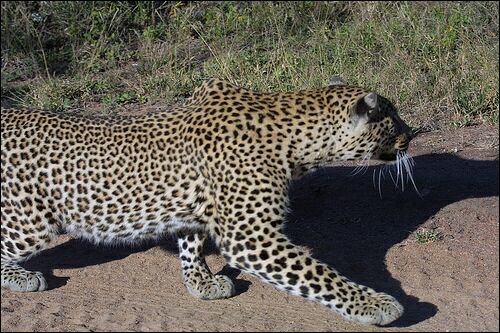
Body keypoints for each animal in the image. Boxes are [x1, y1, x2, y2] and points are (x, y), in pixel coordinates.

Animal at [1, 77, 412, 324]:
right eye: (392, 118)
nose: (412, 136)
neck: (296, 141)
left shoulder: (198, 209)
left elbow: (191, 243)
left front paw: (201, 282)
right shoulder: (252, 238)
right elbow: (319, 275)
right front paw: (376, 304)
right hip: (28, 220)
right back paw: (21, 277)